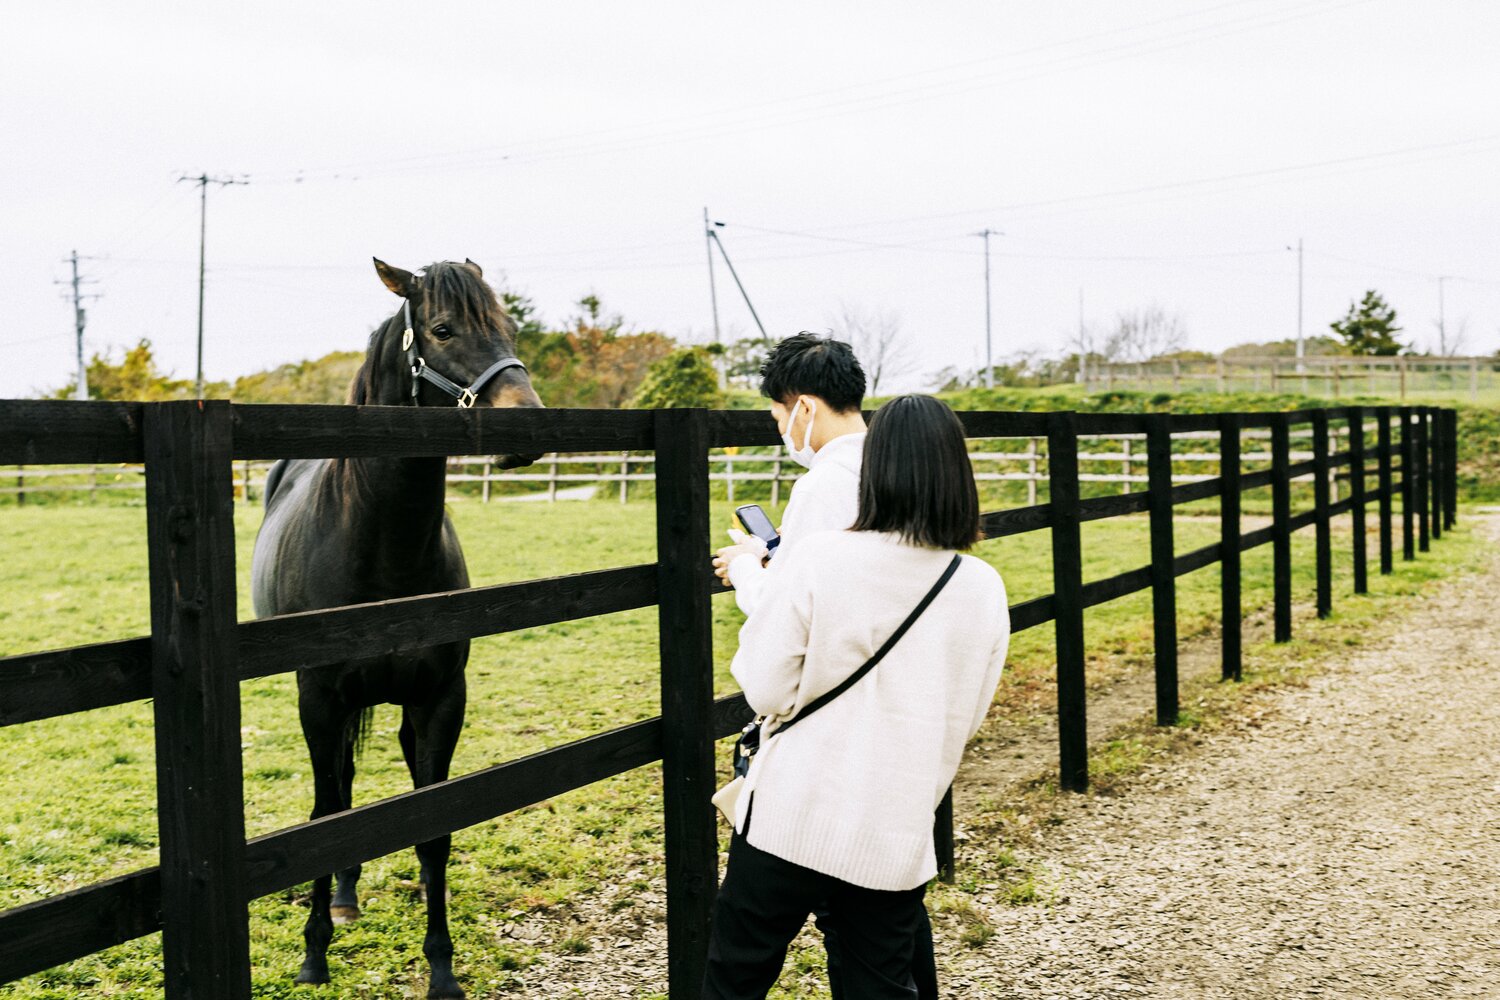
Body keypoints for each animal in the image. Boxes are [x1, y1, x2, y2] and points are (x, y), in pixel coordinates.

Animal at [250, 258, 543, 999]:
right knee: (342, 793)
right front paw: (313, 955)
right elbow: (327, 820)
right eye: (442, 329)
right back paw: (341, 901)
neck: (383, 552)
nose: (527, 424)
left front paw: (441, 967)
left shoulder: (439, 700)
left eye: (510, 328)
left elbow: (432, 828)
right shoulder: (320, 701)